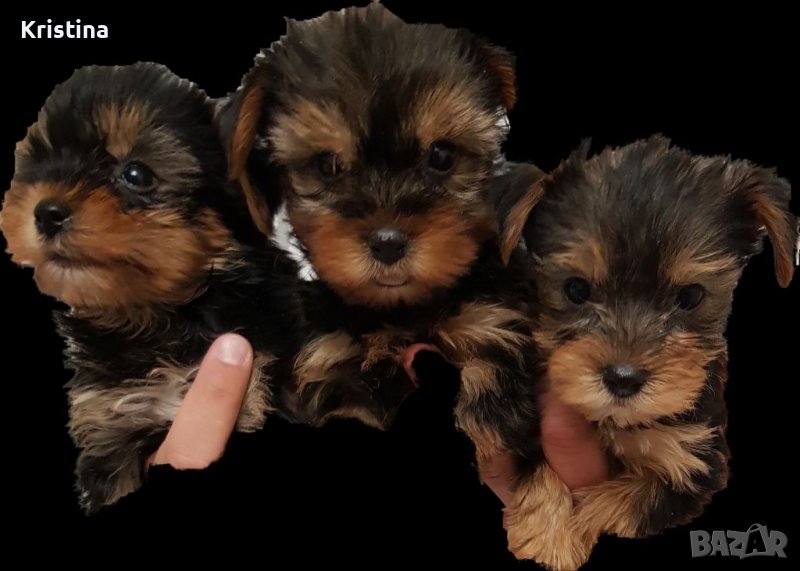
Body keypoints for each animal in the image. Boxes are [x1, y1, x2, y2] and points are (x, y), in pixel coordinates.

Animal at [224, 4, 545, 486]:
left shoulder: (494, 327)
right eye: (327, 165)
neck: (403, 313)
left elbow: (494, 418)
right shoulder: (329, 363)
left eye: (442, 156)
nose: (388, 242)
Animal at [494, 136, 797, 569]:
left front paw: (573, 523)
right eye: (575, 289)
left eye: (690, 297)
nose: (623, 379)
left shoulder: (695, 460)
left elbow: (621, 501)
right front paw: (548, 533)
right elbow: (532, 458)